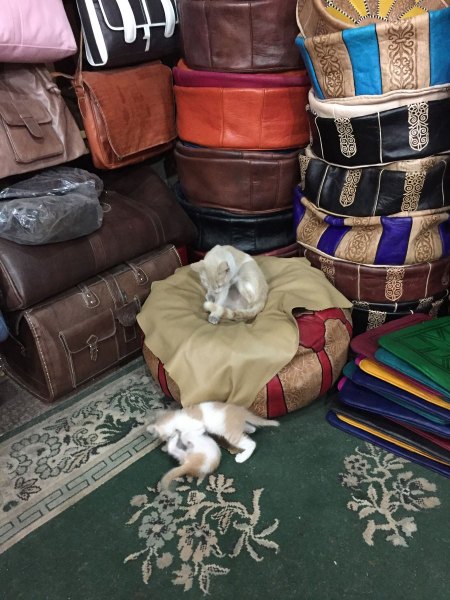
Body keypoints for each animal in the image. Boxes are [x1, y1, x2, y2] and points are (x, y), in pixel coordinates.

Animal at [147, 404, 278, 464]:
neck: (175, 419)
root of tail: (240, 410)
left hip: (231, 434)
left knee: (251, 443)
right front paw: (165, 447)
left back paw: (242, 457)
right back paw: (249, 429)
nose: (166, 442)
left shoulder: (198, 426)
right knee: (251, 428)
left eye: (167, 437)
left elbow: (185, 435)